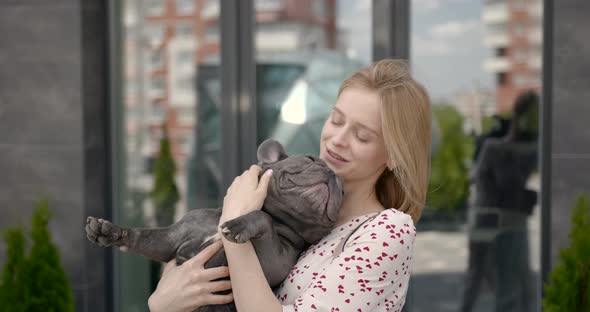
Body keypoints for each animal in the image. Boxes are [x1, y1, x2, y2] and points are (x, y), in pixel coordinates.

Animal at [88, 140, 346, 312]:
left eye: (343, 192)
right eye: (310, 159)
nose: (332, 174)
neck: (276, 215)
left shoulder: (273, 263)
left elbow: (261, 220)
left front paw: (239, 225)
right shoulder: (172, 237)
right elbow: (145, 237)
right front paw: (109, 231)